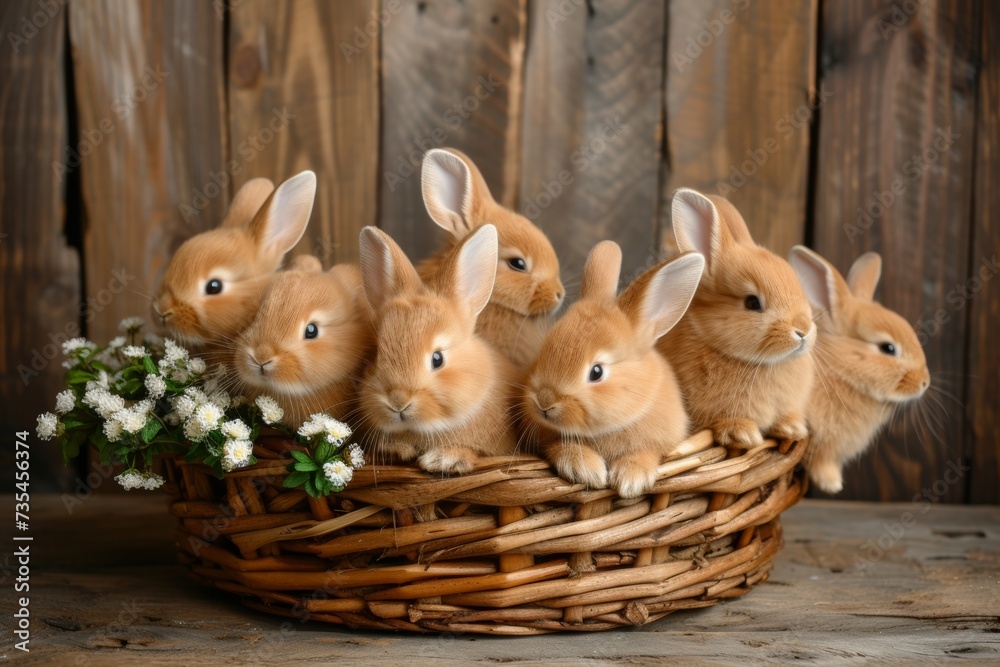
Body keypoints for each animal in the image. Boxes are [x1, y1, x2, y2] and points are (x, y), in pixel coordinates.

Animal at [522, 241, 705, 497]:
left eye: (596, 372)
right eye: (544, 349)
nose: (544, 401)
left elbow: (646, 452)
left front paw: (631, 481)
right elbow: (559, 445)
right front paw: (586, 471)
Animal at [788, 246, 930, 494]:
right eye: (888, 348)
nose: (925, 383)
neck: (838, 370)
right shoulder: (821, 442)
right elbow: (820, 461)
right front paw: (832, 485)